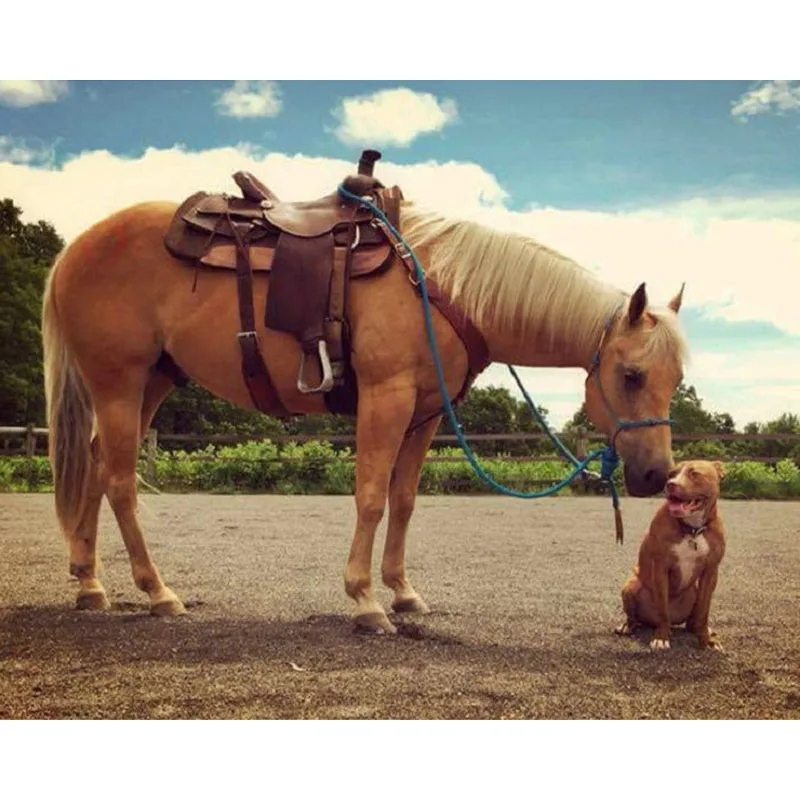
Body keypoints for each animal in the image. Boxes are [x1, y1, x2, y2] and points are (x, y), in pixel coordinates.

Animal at [42, 183, 688, 635]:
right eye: (631, 375)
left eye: (676, 378)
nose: (658, 475)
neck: (439, 287)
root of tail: (75, 249)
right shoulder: (387, 398)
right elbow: (372, 498)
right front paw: (366, 601)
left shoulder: (426, 414)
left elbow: (403, 501)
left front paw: (402, 592)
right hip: (119, 382)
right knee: (121, 481)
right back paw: (157, 592)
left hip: (152, 380)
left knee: (95, 467)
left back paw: (89, 584)